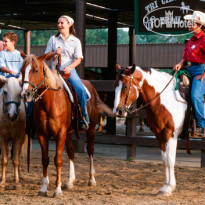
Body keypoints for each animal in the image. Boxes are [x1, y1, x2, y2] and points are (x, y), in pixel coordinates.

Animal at [20, 51, 113, 197]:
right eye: (22, 70)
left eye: (35, 70)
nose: (26, 94)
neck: (49, 102)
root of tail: (90, 86)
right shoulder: (42, 134)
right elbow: (45, 159)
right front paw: (43, 188)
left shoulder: (60, 133)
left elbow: (58, 160)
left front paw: (57, 190)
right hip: (68, 133)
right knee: (71, 152)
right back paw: (70, 181)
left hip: (90, 129)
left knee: (90, 150)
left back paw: (91, 179)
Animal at [113, 64, 187, 195]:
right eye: (115, 85)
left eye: (125, 86)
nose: (118, 111)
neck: (164, 99)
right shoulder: (159, 134)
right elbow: (164, 160)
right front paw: (165, 186)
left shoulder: (170, 134)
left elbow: (170, 160)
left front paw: (169, 187)